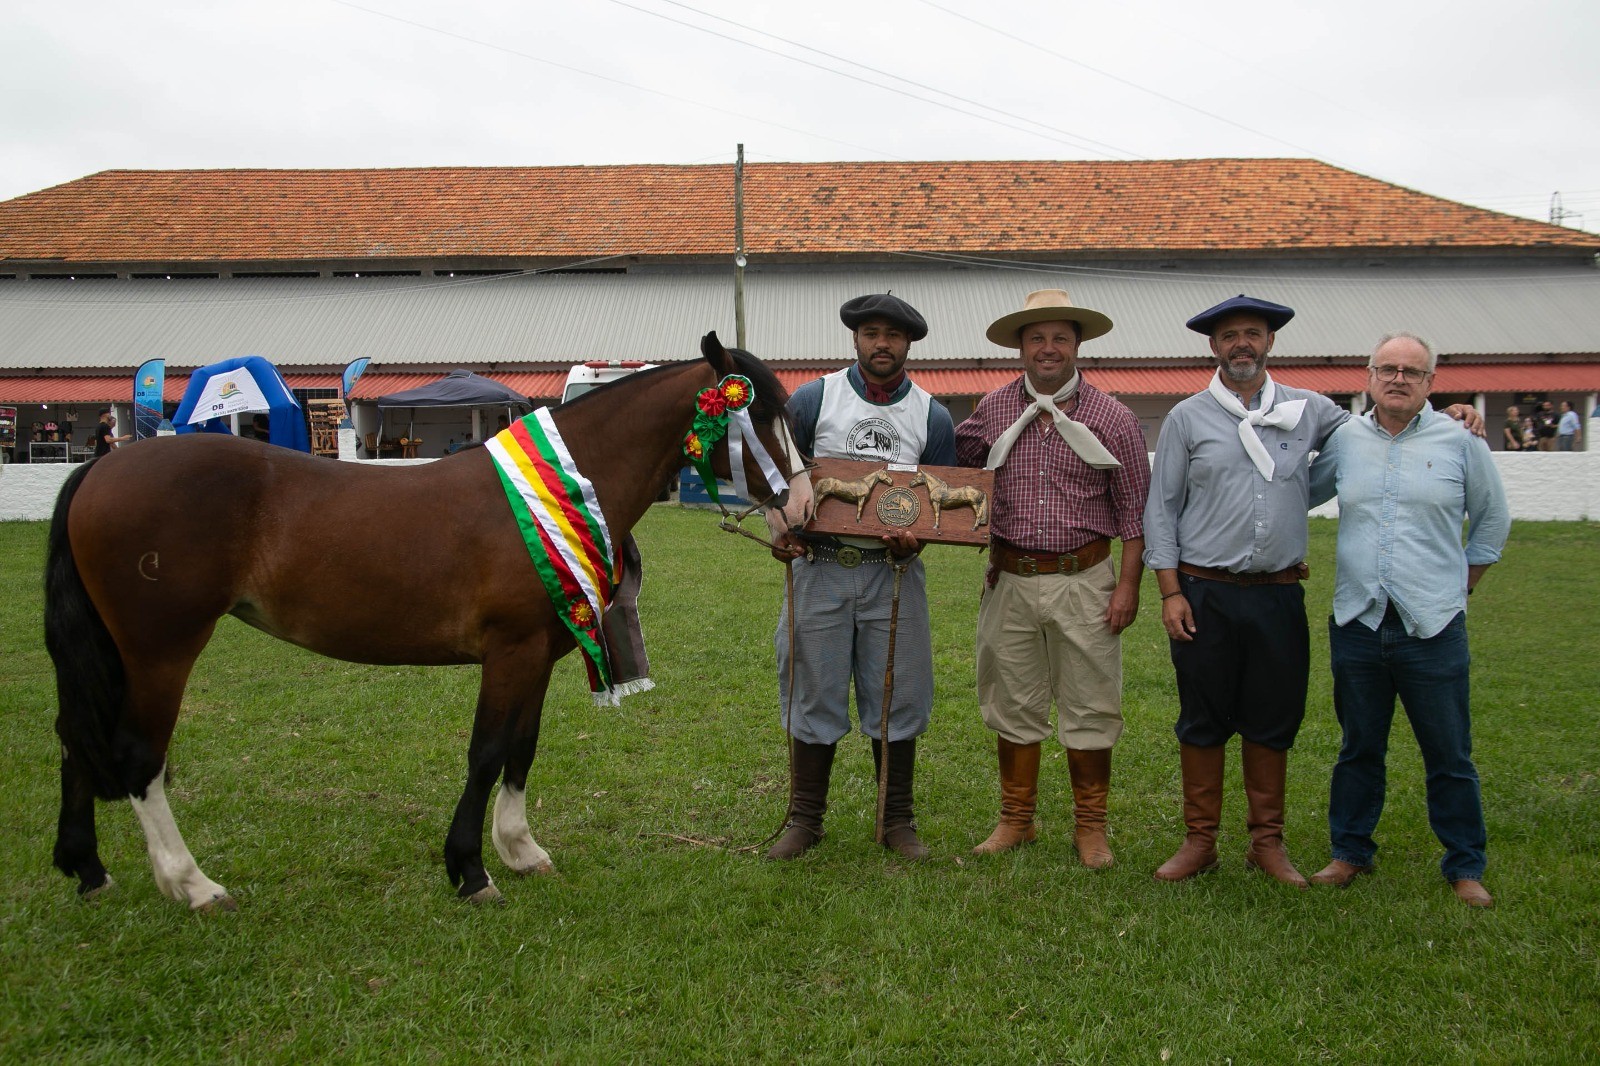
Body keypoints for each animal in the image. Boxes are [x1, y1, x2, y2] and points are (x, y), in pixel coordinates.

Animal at [43, 329, 819, 902]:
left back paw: (89, 870)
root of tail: (102, 466)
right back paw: (191, 884)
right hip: (161, 651)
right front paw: (470, 870)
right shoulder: (509, 653)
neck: (554, 494)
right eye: (758, 417)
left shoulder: (538, 652)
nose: (807, 511)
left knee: (76, 739)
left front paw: (520, 850)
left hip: (118, 653)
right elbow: (487, 752)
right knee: (136, 755)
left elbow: (522, 748)